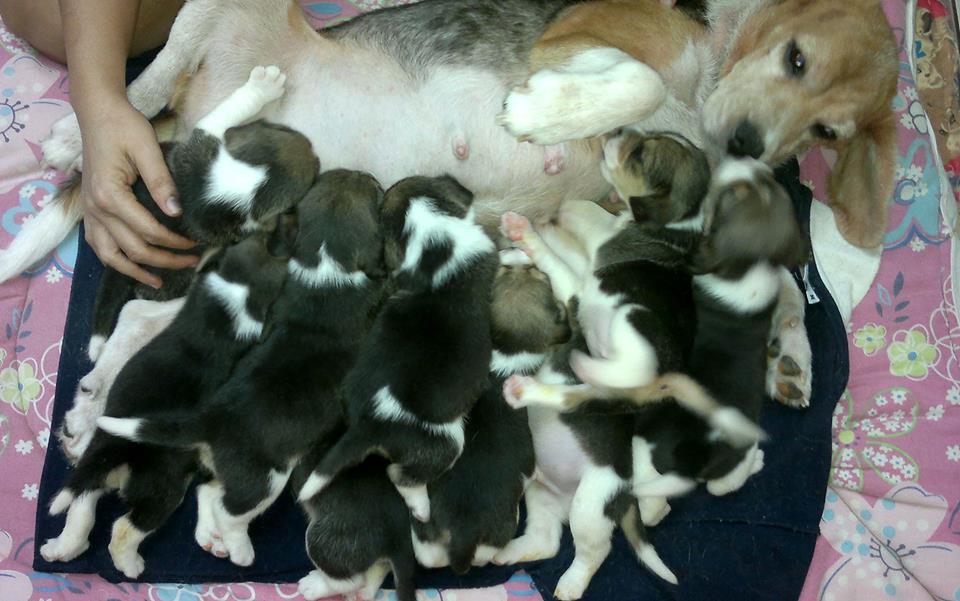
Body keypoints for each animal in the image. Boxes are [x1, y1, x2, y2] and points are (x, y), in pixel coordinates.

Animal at [98, 169, 386, 567]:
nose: (369, 175)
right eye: (372, 193)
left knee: (206, 492)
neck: (326, 265)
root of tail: (208, 420)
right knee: (227, 510)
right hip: (265, 480)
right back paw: (238, 549)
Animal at [295, 175, 498, 524]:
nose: (385, 184)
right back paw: (421, 508)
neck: (431, 233)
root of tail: (369, 423)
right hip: (447, 443)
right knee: (401, 476)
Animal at [411, 248, 566, 573]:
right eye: (539, 273)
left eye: (502, 271)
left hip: (426, 533)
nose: (511, 250)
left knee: (428, 555)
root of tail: (463, 534)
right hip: (499, 533)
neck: (507, 357)